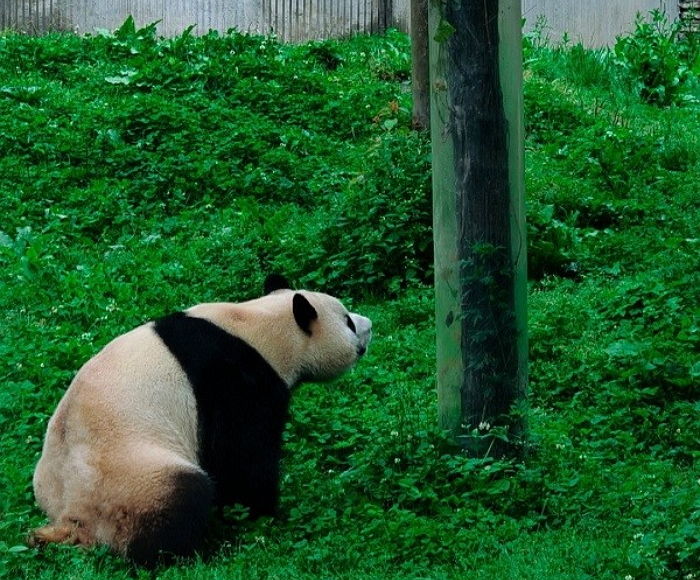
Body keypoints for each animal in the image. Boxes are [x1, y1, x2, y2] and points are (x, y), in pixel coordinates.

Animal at [29, 274, 372, 564]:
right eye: (347, 321)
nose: (369, 324)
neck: (259, 325)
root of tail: (70, 519)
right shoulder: (232, 379)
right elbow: (242, 456)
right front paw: (265, 512)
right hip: (129, 480)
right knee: (181, 499)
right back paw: (200, 548)